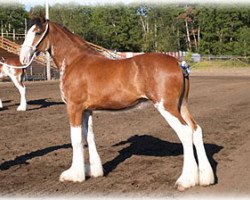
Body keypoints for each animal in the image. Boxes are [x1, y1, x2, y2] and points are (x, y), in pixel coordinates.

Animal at [20, 16, 215, 191]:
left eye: (37, 32)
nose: (23, 58)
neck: (75, 61)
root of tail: (178, 62)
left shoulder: (74, 108)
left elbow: (76, 140)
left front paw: (74, 175)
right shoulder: (87, 110)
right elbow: (89, 136)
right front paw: (93, 171)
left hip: (167, 107)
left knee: (185, 133)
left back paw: (185, 181)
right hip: (181, 106)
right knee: (196, 130)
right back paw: (205, 178)